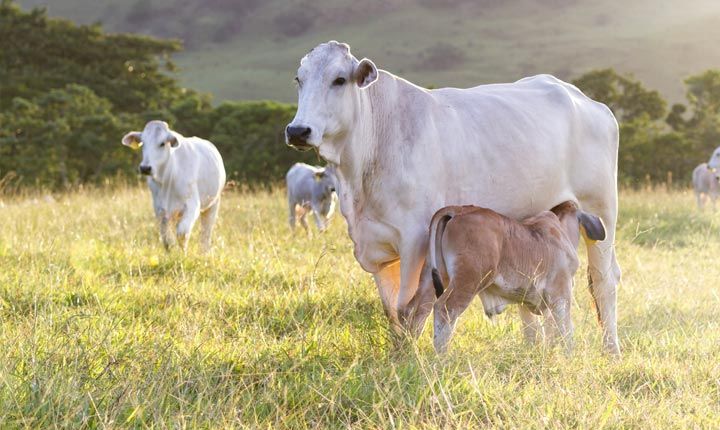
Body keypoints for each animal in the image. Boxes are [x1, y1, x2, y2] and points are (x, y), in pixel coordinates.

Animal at [122, 120, 226, 253]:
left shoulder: (192, 205)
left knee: (205, 234)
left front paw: (183, 255)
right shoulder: (160, 210)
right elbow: (167, 241)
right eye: (143, 143)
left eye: (162, 143)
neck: (167, 178)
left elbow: (182, 234)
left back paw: (204, 252)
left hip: (213, 204)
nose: (145, 168)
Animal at [428, 201, 606, 353]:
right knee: (444, 309)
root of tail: (459, 210)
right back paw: (442, 355)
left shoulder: (529, 301)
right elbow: (566, 329)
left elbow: (536, 331)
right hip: (468, 281)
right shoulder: (561, 295)